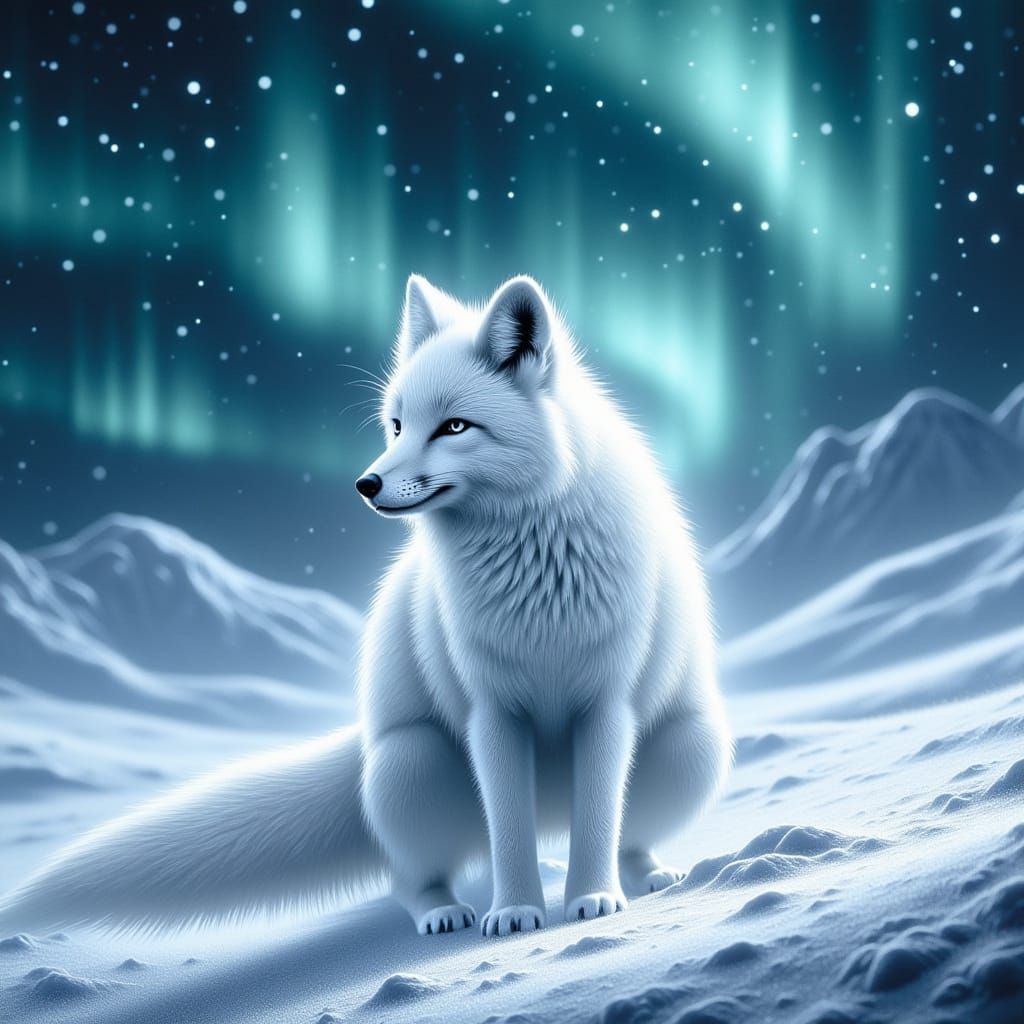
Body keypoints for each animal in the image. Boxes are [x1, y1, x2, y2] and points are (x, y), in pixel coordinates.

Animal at [0, 274, 731, 939]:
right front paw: (516, 911)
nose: (365, 483)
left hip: (693, 745)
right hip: (414, 760)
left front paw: (591, 899)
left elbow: (600, 815)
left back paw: (647, 874)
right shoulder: (491, 712)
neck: (533, 558)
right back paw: (444, 913)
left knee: (622, 832)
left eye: (455, 427)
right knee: (409, 878)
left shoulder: (607, 703)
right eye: (398, 424)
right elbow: (508, 831)